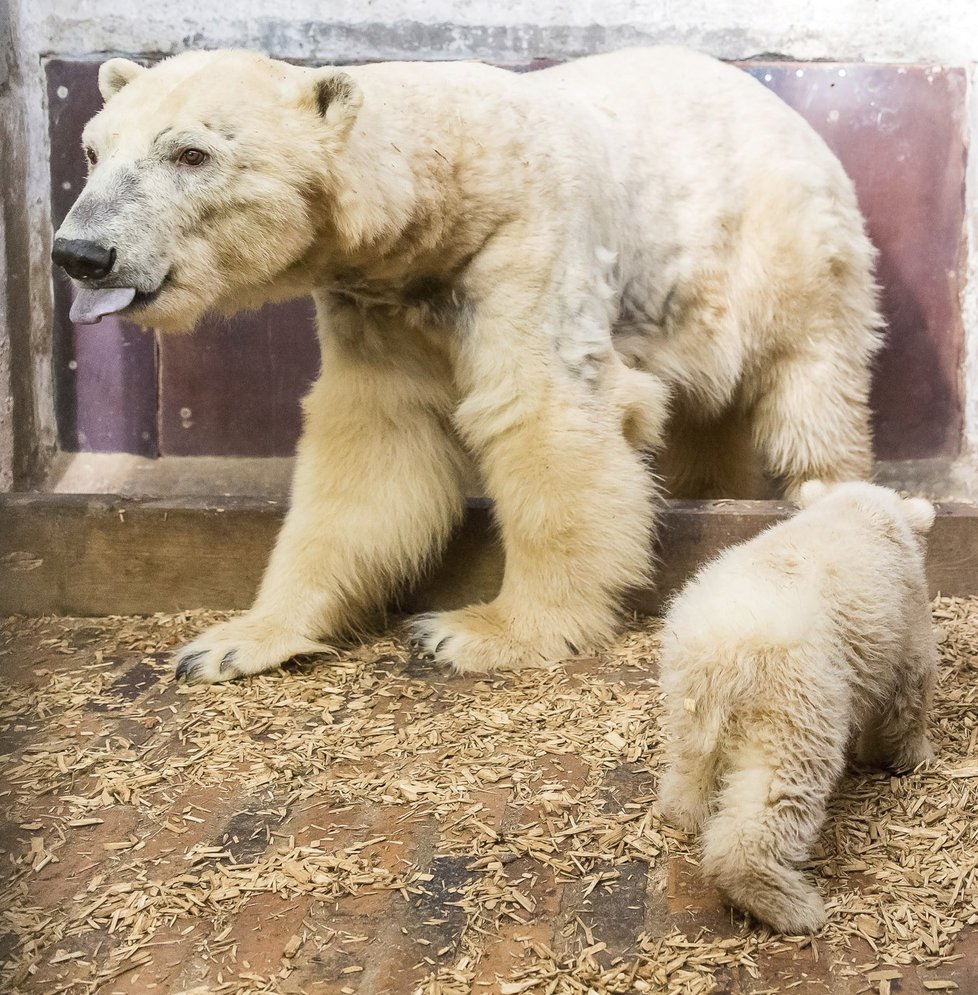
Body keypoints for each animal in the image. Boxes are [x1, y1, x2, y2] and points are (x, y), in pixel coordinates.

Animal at [51, 46, 876, 684]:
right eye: (93, 151)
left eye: (191, 153)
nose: (80, 252)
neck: (447, 182)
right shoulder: (375, 304)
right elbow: (373, 450)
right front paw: (235, 641)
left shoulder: (526, 246)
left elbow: (543, 416)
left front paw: (486, 629)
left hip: (777, 248)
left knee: (809, 385)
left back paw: (822, 490)